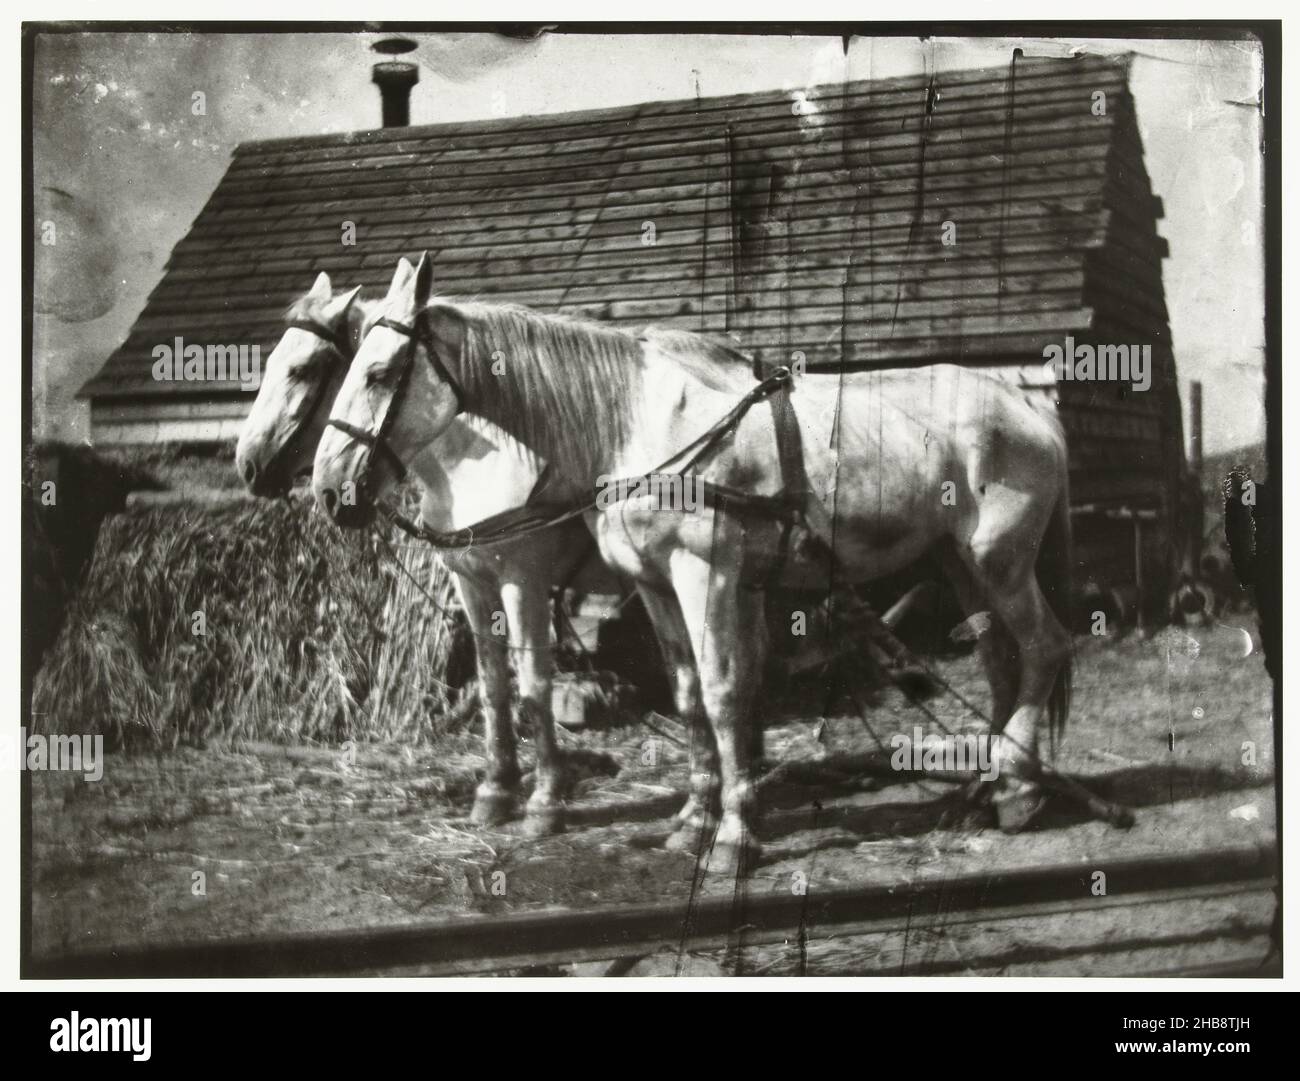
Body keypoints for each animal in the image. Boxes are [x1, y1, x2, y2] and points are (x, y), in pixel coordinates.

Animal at [235, 270, 608, 836]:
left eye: (304, 369)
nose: (248, 464)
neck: (485, 465)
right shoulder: (471, 583)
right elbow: (494, 685)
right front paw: (496, 791)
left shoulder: (524, 582)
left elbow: (534, 685)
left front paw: (545, 801)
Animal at [317, 253, 1076, 867]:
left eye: (380, 372)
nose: (329, 488)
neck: (639, 426)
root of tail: (1027, 404)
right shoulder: (653, 583)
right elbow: (684, 694)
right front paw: (693, 819)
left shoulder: (694, 574)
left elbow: (720, 691)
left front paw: (735, 835)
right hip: (960, 563)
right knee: (1000, 661)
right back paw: (993, 788)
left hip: (1001, 560)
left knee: (1044, 647)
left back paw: (1018, 788)